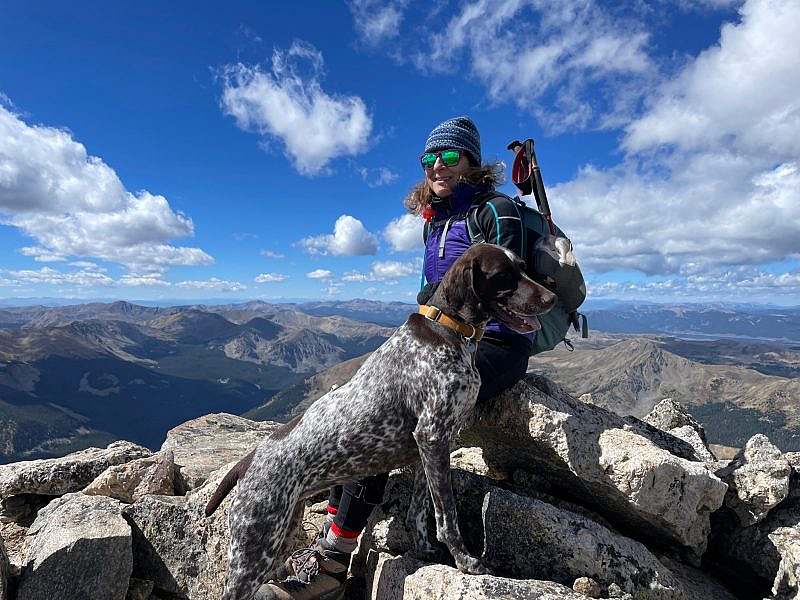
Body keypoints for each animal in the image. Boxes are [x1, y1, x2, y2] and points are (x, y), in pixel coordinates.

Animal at [206, 241, 556, 596]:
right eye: (502, 276)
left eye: (523, 266)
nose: (551, 298)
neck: (448, 330)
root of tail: (248, 461)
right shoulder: (432, 436)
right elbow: (447, 516)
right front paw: (465, 561)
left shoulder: (428, 450)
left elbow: (419, 511)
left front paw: (425, 550)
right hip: (254, 547)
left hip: (283, 534)